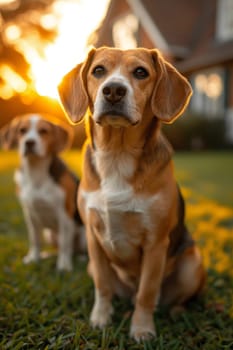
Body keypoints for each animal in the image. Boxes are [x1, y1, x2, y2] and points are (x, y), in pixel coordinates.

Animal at [0, 114, 85, 270]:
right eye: (22, 130)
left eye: (43, 131)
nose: (29, 143)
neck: (36, 171)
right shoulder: (30, 214)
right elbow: (35, 239)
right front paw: (34, 258)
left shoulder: (64, 213)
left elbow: (65, 243)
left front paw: (64, 266)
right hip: (49, 234)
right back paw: (48, 255)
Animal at [58, 47, 206, 342]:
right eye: (99, 70)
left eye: (140, 72)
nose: (113, 90)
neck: (117, 154)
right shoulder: (93, 238)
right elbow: (102, 286)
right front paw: (100, 318)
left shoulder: (156, 244)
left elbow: (147, 293)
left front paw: (142, 329)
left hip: (192, 264)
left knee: (167, 298)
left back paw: (176, 312)